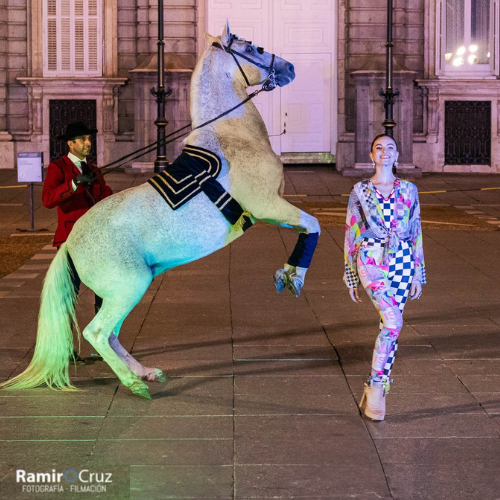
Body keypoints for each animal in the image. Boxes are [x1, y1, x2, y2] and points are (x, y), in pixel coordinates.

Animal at [0, 22, 320, 398]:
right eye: (254, 47)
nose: (289, 68)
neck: (230, 137)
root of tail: (69, 243)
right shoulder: (268, 206)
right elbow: (312, 224)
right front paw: (292, 276)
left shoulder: (272, 210)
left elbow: (307, 227)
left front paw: (287, 274)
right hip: (129, 287)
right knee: (97, 332)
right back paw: (133, 383)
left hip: (123, 291)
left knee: (111, 334)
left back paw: (144, 372)